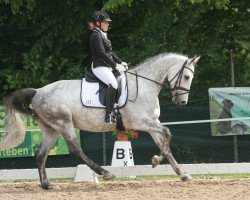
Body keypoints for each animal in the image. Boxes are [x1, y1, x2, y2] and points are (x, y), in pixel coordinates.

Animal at [0, 52, 199, 189]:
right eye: (187, 77)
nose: (181, 102)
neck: (144, 85)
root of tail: (38, 92)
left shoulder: (151, 123)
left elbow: (165, 144)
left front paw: (183, 174)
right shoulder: (140, 122)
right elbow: (167, 132)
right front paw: (156, 161)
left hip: (51, 129)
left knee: (41, 153)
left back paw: (47, 185)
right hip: (64, 123)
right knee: (75, 150)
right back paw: (105, 173)